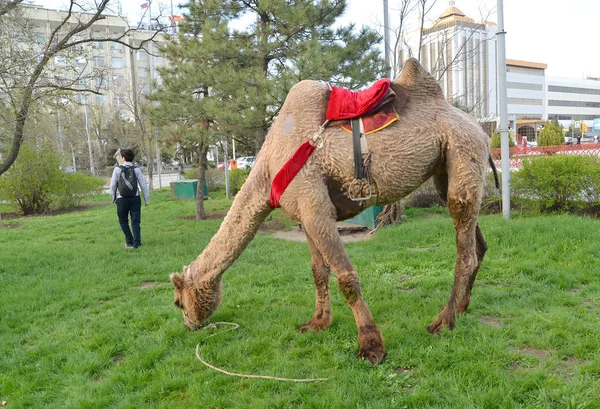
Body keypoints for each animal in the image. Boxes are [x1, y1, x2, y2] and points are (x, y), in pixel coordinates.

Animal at [171, 58, 494, 364]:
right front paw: (318, 323)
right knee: (477, 243)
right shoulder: (306, 215)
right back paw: (462, 307)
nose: (190, 325)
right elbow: (318, 271)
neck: (269, 167)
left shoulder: (316, 207)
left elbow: (346, 278)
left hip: (463, 151)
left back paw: (443, 322)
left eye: (178, 302)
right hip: (447, 171)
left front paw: (371, 347)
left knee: (464, 251)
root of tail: (481, 131)